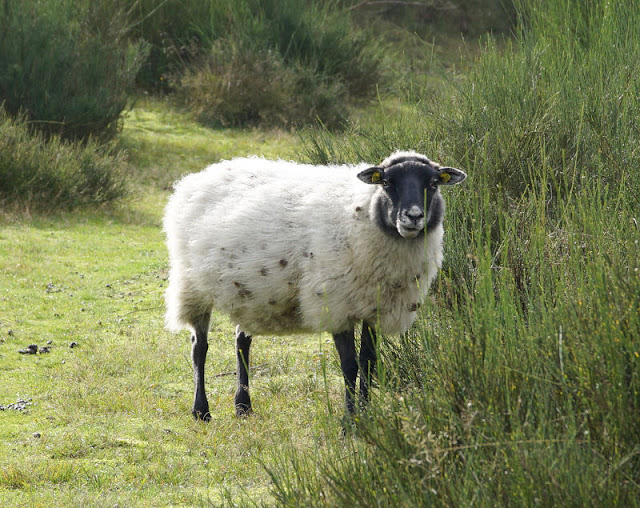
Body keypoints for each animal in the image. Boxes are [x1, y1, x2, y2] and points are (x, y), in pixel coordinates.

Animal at [162, 151, 468, 420]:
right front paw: (350, 422)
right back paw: (201, 410)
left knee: (241, 341)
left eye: (433, 183)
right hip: (192, 285)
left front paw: (367, 418)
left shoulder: (375, 306)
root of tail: (200, 175)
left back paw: (243, 406)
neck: (363, 213)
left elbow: (368, 363)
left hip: (250, 291)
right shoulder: (337, 304)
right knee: (199, 347)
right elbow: (349, 366)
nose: (413, 216)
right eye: (387, 182)